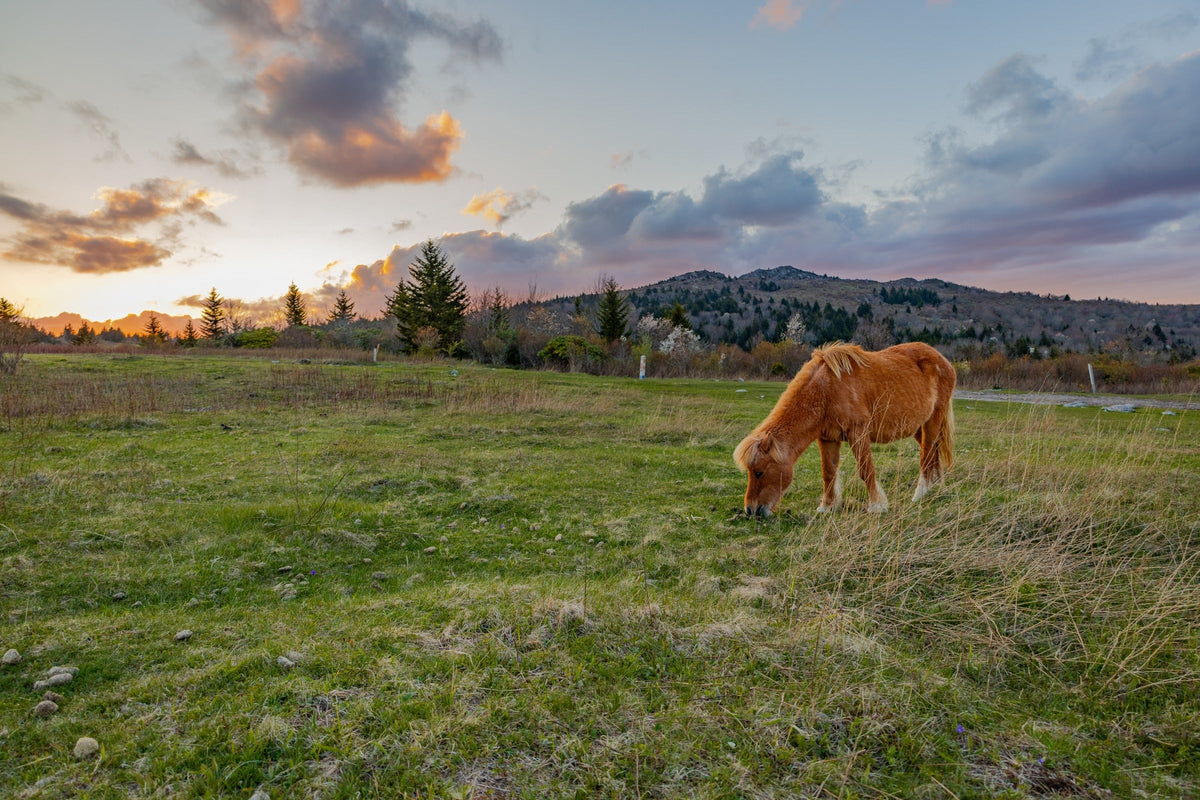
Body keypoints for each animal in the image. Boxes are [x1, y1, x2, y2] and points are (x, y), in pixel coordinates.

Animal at [734, 341, 955, 516]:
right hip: (919, 427)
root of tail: (943, 361)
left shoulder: (858, 434)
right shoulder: (827, 439)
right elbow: (828, 472)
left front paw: (877, 506)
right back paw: (935, 487)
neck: (827, 390)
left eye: (759, 472)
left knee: (927, 456)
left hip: (933, 421)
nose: (751, 511)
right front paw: (827, 507)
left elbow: (866, 470)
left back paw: (920, 494)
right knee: (933, 453)